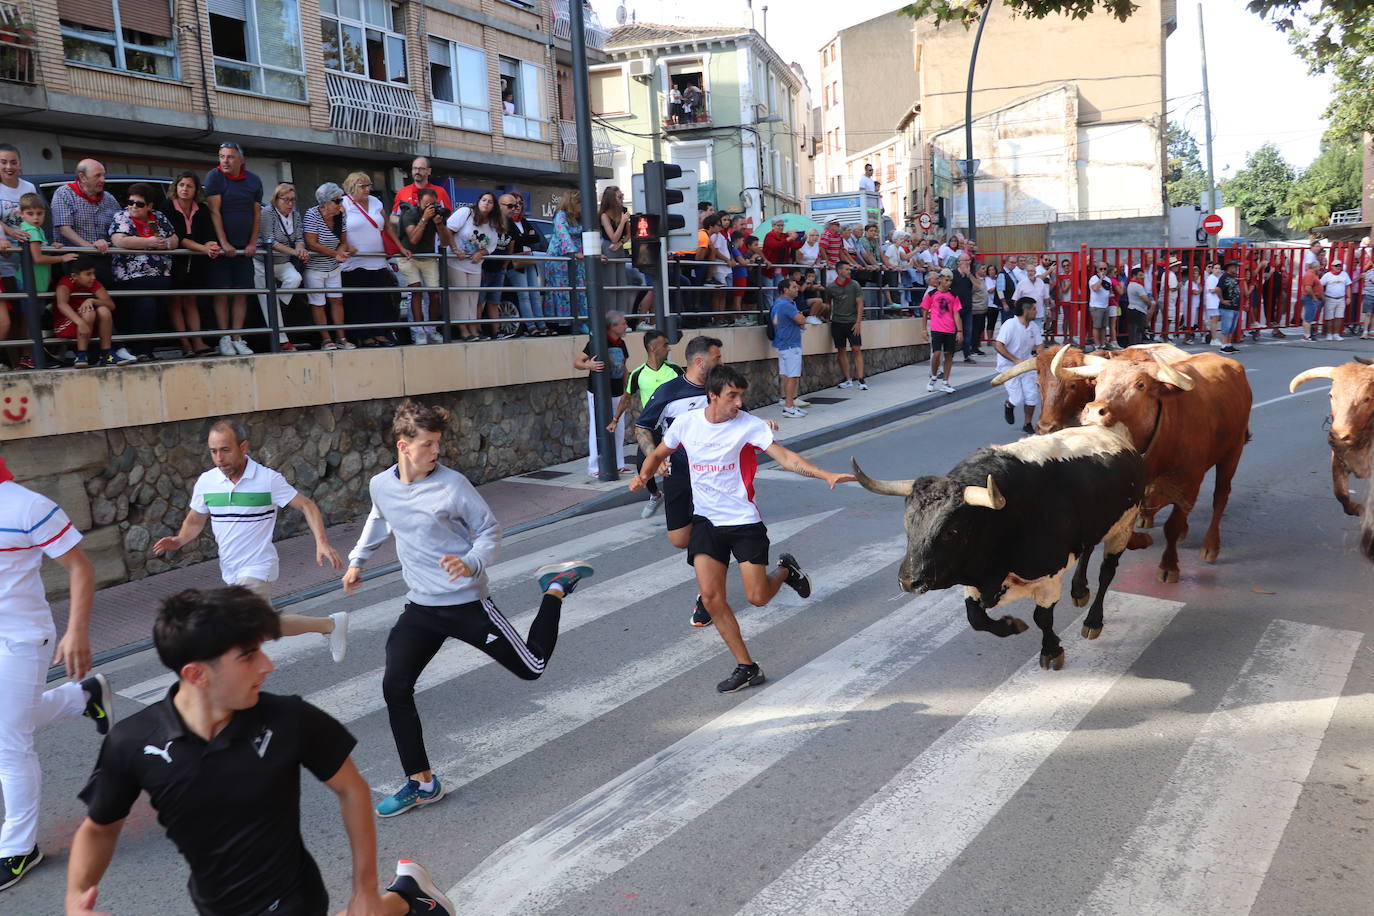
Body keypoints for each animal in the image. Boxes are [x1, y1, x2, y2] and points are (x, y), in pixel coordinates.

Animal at [851, 425, 1143, 670]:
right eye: (907, 524)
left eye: (951, 531)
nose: (909, 581)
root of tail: (1113, 435)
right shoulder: (973, 577)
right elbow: (975, 618)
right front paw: (1012, 625)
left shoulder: (1047, 576)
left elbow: (1042, 617)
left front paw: (1051, 651)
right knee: (1088, 549)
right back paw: (1079, 590)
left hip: (1123, 528)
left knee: (1107, 573)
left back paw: (1093, 621)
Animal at [1049, 348, 1258, 579]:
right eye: (1099, 381)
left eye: (1140, 385)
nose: (1094, 411)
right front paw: (1142, 539)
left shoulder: (1188, 484)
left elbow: (1172, 526)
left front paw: (1169, 566)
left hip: (1232, 453)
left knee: (1220, 497)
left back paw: (1210, 546)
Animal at [1286, 357, 1374, 516]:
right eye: (1331, 395)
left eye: (1367, 398)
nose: (1340, 437)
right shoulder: (1338, 459)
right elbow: (1340, 493)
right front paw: (1358, 509)